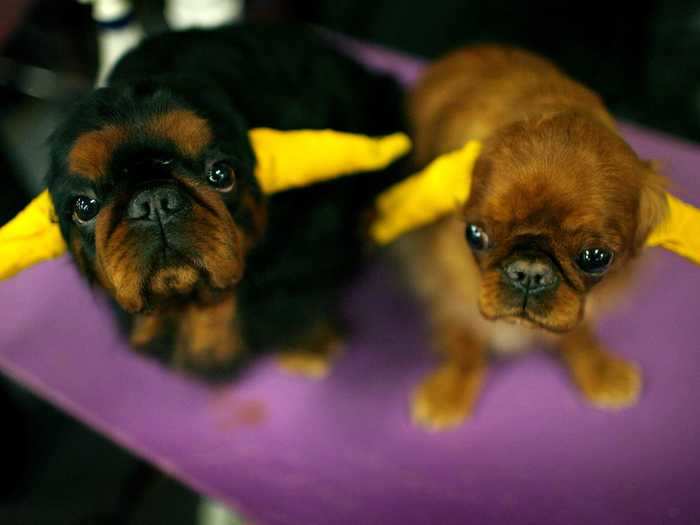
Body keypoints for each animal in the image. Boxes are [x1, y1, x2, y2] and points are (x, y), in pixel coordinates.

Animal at [394, 46, 668, 430]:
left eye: (596, 257)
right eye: (475, 235)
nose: (529, 272)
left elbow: (580, 332)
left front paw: (599, 369)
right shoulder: (445, 283)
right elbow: (463, 338)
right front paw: (451, 390)